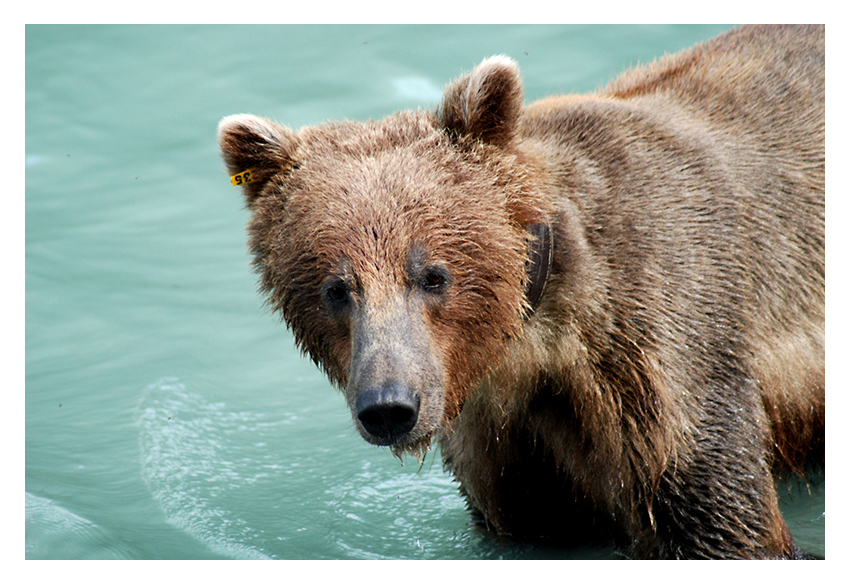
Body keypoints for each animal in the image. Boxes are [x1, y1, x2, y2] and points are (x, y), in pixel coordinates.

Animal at [219, 25, 820, 560]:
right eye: (337, 289)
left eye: (432, 275)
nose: (389, 406)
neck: (532, 341)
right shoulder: (501, 440)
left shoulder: (666, 347)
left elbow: (720, 516)